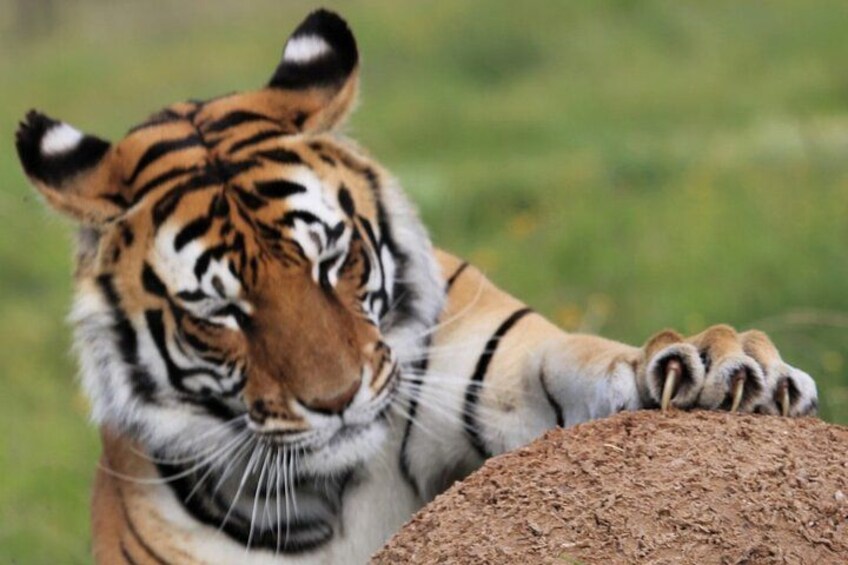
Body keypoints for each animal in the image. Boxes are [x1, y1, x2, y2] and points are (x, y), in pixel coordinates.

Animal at [14, 8, 818, 565]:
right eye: (220, 311)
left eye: (331, 260)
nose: (335, 402)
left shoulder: (500, 369)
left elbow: (587, 363)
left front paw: (721, 365)